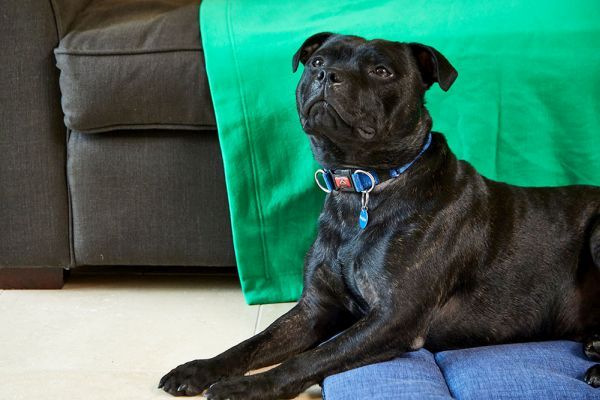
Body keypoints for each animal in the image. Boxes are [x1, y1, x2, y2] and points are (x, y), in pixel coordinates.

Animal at [159, 33, 600, 399]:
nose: (327, 75)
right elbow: (253, 344)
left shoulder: (393, 318)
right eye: (316, 61)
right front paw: (199, 369)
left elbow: (310, 358)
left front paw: (247, 388)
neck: (362, 185)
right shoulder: (314, 308)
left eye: (381, 71)